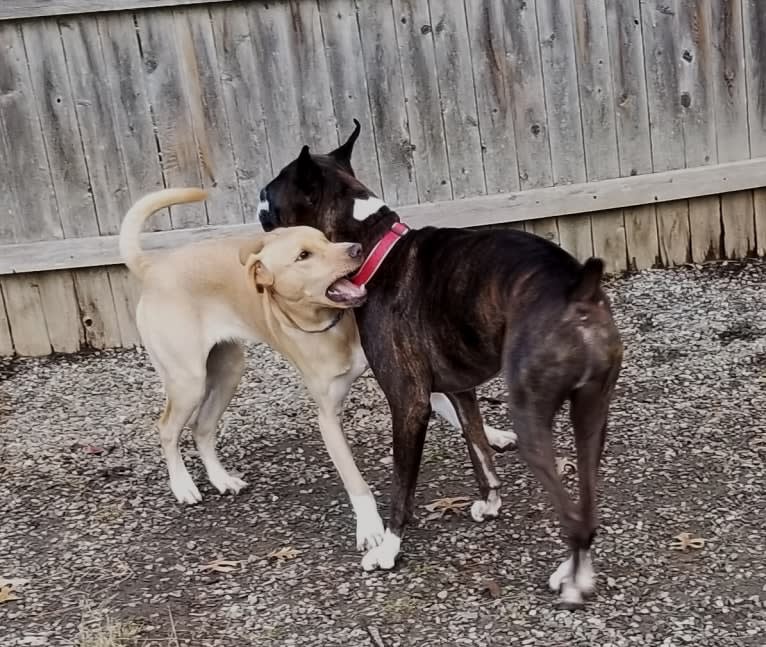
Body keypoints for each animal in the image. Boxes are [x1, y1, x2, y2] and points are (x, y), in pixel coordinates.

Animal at [258, 123, 624, 612]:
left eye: (271, 191)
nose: (257, 199)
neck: (376, 246)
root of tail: (577, 290)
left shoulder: (409, 404)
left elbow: (402, 486)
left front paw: (389, 547)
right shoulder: (460, 389)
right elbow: (479, 447)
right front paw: (490, 503)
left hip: (532, 420)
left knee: (575, 517)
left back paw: (574, 583)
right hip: (592, 419)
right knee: (586, 505)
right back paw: (571, 569)